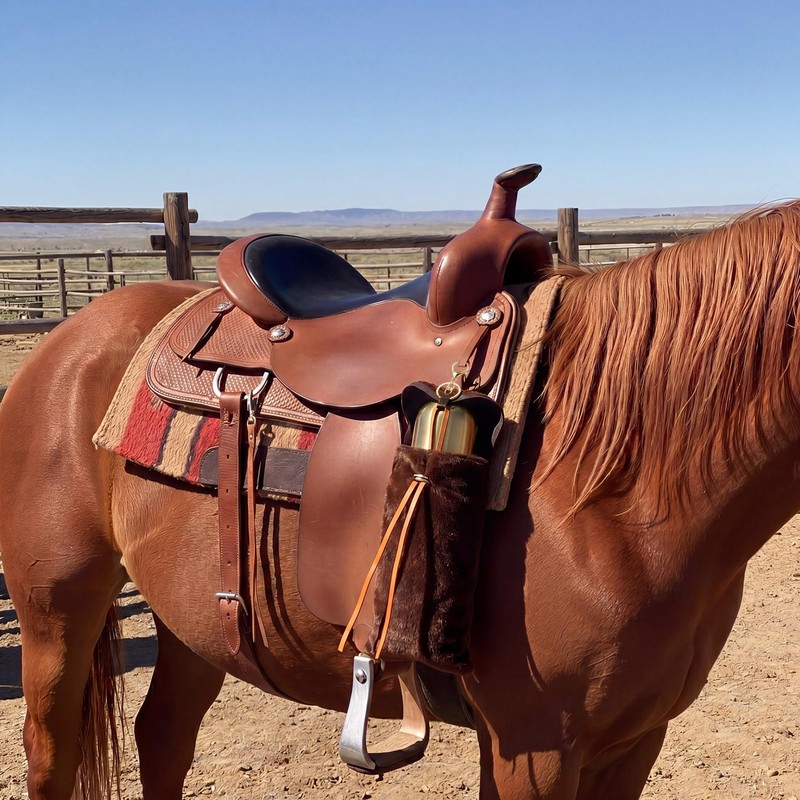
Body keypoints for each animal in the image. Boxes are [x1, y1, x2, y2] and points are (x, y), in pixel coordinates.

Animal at [1, 200, 800, 800]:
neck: (622, 477)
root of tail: (67, 340)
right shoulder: (534, 746)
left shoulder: (635, 739)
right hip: (57, 615)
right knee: (51, 754)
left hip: (192, 620)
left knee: (163, 738)